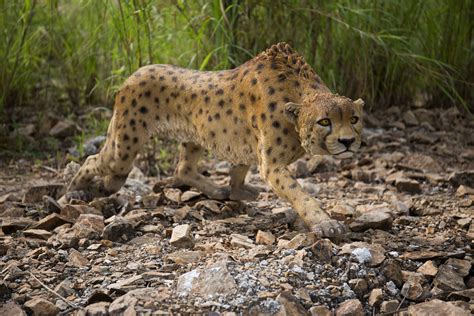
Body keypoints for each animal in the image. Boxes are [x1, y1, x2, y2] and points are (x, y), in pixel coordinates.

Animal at [66, 43, 362, 238]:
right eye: (324, 122)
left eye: (354, 119)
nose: (347, 141)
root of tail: (135, 72)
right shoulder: (273, 166)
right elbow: (299, 194)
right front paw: (324, 223)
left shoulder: (248, 148)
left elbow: (240, 169)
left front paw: (236, 190)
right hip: (124, 147)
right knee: (95, 159)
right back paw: (74, 190)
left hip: (194, 135)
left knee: (182, 168)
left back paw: (217, 191)